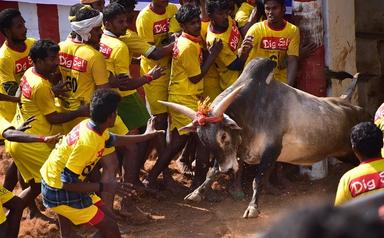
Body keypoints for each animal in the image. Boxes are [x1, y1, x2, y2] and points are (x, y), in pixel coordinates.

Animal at [158, 57, 368, 218]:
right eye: (202, 139)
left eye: (223, 136)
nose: (228, 169)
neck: (249, 111)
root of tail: (349, 103)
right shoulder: (233, 155)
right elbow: (212, 172)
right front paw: (196, 192)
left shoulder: (271, 150)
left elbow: (257, 180)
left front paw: (252, 208)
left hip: (350, 151)